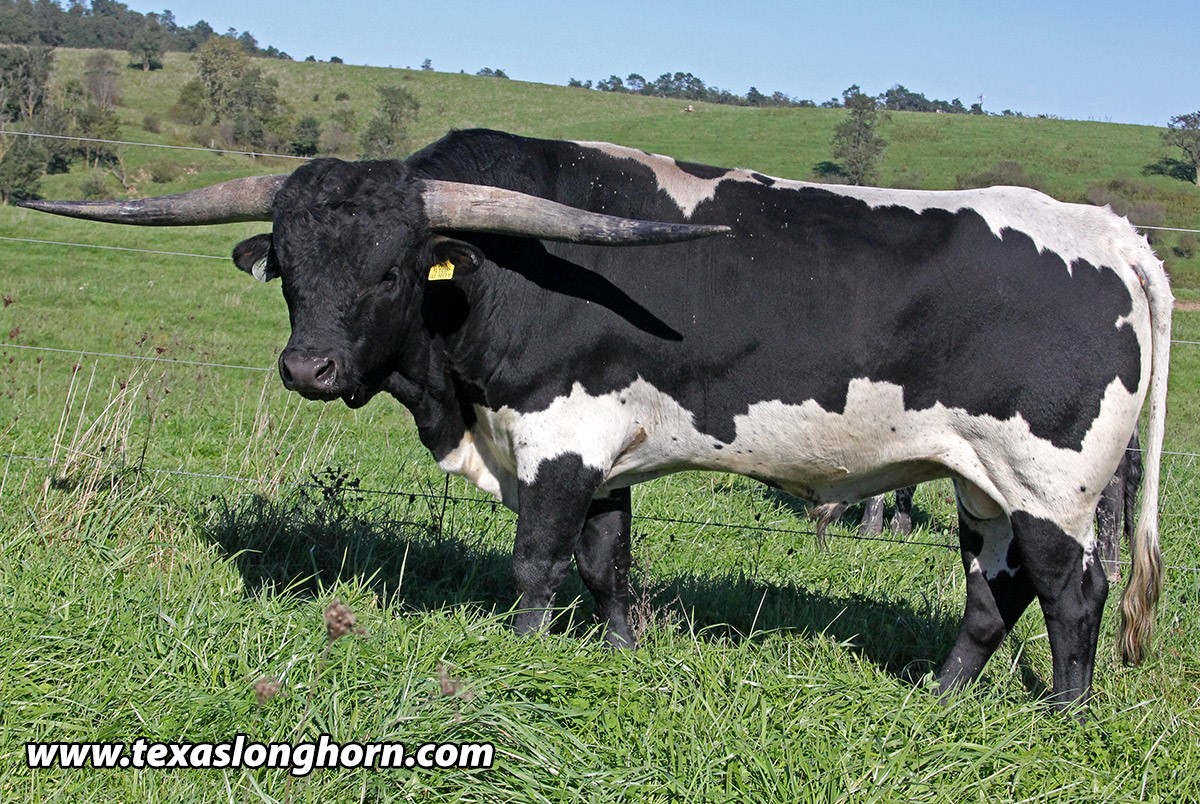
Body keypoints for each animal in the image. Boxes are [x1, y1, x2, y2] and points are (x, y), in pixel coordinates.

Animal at [21, 128, 1172, 710]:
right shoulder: (607, 454)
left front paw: (521, 655)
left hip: (1053, 483)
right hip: (983, 483)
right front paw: (617, 655)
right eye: (291, 266)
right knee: (993, 594)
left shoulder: (558, 433)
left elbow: (539, 562)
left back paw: (1065, 714)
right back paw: (938, 700)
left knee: (1072, 593)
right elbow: (608, 563)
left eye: (393, 267)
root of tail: (1111, 232)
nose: (309, 367)